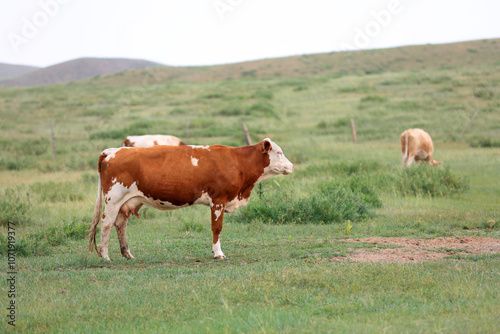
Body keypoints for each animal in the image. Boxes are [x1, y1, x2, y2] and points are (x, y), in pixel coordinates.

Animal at [89, 138, 292, 260]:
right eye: (279, 152)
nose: (291, 166)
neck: (237, 161)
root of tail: (111, 151)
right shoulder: (218, 199)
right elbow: (217, 228)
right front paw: (218, 253)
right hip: (113, 199)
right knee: (106, 224)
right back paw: (106, 256)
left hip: (126, 202)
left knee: (120, 224)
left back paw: (128, 254)